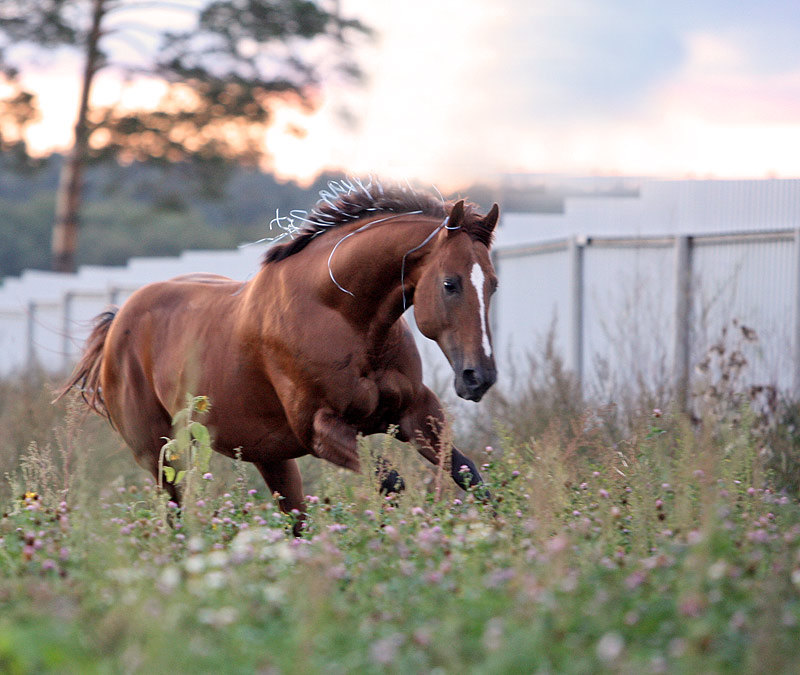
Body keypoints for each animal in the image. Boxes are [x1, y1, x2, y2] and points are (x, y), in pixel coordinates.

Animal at [59, 181, 500, 528]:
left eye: (493, 283)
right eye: (450, 283)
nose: (479, 377)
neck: (343, 317)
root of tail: (118, 321)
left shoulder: (416, 412)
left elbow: (471, 477)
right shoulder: (321, 430)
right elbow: (393, 484)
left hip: (271, 458)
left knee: (295, 523)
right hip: (161, 456)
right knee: (176, 518)